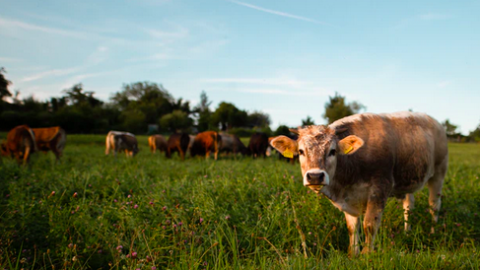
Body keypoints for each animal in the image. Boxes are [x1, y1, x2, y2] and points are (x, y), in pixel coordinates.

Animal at [272, 112, 448, 255]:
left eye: (333, 151)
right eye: (301, 151)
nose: (315, 176)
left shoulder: (379, 188)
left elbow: (369, 225)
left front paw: (366, 255)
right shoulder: (348, 199)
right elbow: (352, 228)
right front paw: (353, 254)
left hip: (439, 173)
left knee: (434, 205)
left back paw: (433, 232)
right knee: (409, 206)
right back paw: (407, 233)